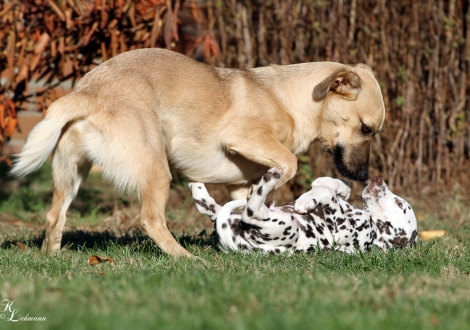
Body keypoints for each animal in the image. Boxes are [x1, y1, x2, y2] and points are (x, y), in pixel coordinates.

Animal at [10, 48, 386, 258]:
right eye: (367, 129)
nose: (364, 177)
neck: (290, 100)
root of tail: (88, 92)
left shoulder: (239, 185)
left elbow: (246, 205)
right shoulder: (243, 137)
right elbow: (289, 164)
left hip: (70, 173)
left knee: (54, 216)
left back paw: (51, 258)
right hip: (156, 168)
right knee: (151, 219)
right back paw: (186, 259)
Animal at [189, 166, 416, 254]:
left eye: (399, 204)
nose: (378, 179)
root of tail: (230, 241)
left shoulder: (343, 230)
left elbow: (328, 194)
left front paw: (307, 199)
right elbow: (338, 186)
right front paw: (319, 187)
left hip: (285, 226)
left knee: (252, 210)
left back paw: (269, 179)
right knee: (205, 203)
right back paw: (194, 179)